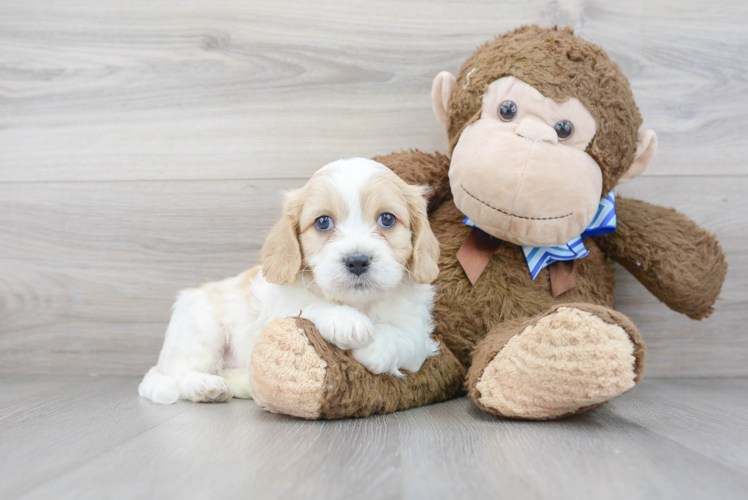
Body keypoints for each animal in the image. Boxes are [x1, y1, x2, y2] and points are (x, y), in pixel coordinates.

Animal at [138, 158, 442, 404]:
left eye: (387, 219)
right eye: (323, 223)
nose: (357, 260)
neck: (358, 302)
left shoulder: (419, 329)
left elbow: (407, 339)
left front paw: (374, 348)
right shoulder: (279, 308)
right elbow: (309, 305)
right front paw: (347, 321)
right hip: (201, 330)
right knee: (181, 372)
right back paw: (206, 386)